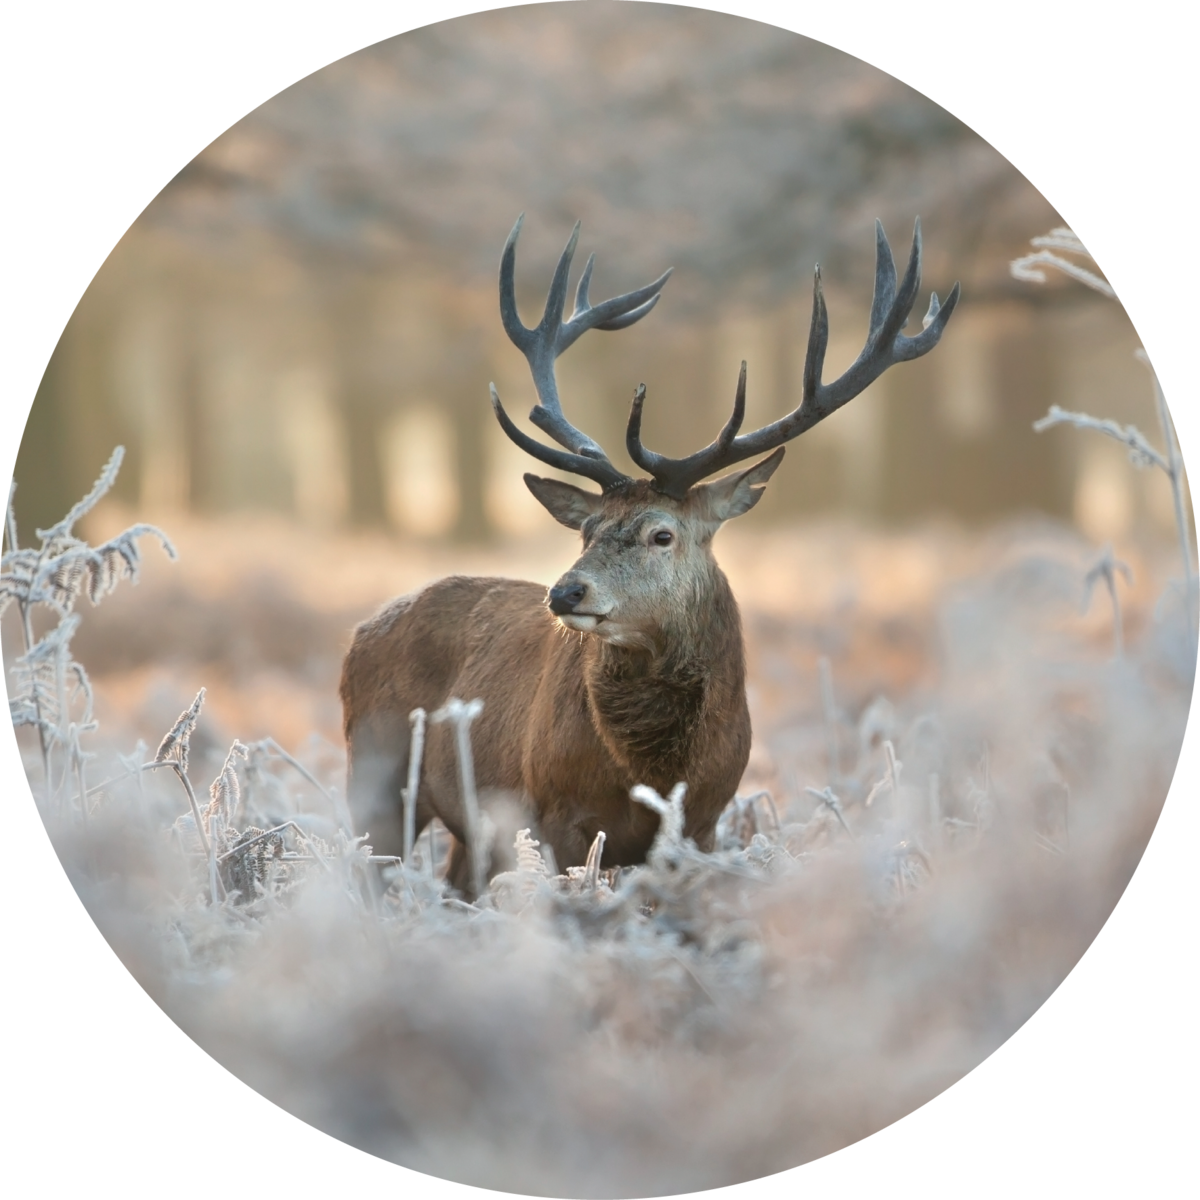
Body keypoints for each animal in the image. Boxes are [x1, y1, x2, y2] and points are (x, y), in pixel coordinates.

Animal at [340, 215, 959, 897]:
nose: (565, 592)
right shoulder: (552, 813)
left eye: (662, 535)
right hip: (374, 774)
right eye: (586, 531)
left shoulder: (704, 822)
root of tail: (360, 632)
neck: (655, 771)